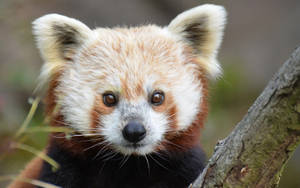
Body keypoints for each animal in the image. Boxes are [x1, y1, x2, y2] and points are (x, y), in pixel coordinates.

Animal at [8, 4, 225, 188]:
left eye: (157, 97)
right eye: (109, 98)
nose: (134, 131)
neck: (129, 164)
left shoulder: (185, 166)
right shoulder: (61, 168)